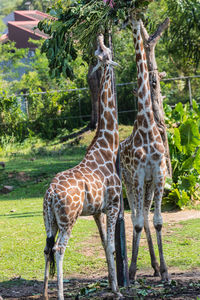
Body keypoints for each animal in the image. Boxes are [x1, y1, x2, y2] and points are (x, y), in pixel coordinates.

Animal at [43, 34, 122, 298]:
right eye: (104, 52)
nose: (100, 36)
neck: (108, 147)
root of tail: (49, 194)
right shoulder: (114, 204)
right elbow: (111, 245)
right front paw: (118, 291)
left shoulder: (97, 210)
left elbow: (104, 244)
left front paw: (112, 285)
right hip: (68, 219)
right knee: (58, 249)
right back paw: (59, 295)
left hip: (49, 220)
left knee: (46, 248)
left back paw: (45, 293)